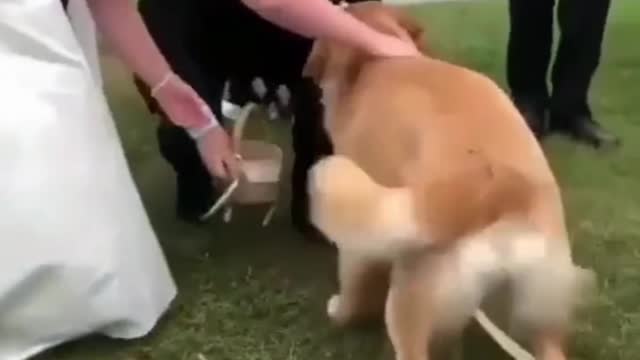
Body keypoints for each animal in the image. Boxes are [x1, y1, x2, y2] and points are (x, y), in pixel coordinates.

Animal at [304, 2, 596, 360]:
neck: (376, 62)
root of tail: (502, 190)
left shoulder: (360, 241)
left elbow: (353, 289)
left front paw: (339, 311)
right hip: (539, 311)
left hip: (409, 302)